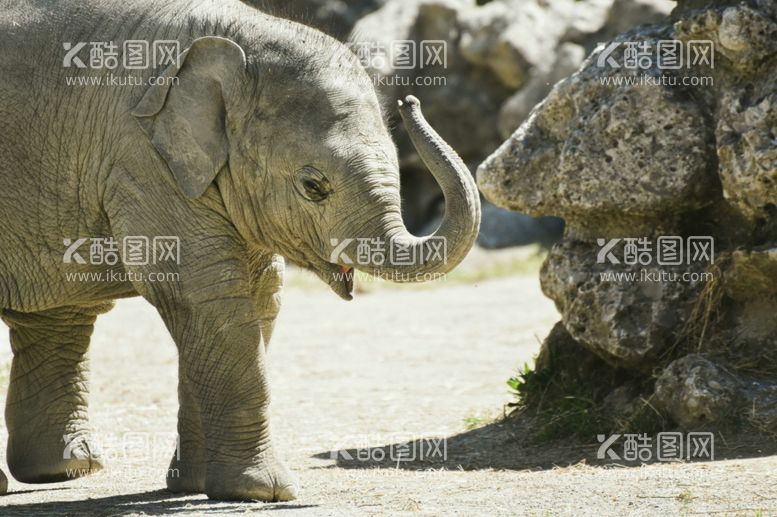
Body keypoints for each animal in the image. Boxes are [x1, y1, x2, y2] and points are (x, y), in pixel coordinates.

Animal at [0, 0, 478, 502]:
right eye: (313, 186)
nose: (411, 102)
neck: (232, 47)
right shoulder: (140, 160)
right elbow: (206, 292)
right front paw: (266, 493)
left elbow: (260, 295)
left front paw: (195, 487)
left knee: (59, 316)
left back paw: (67, 470)